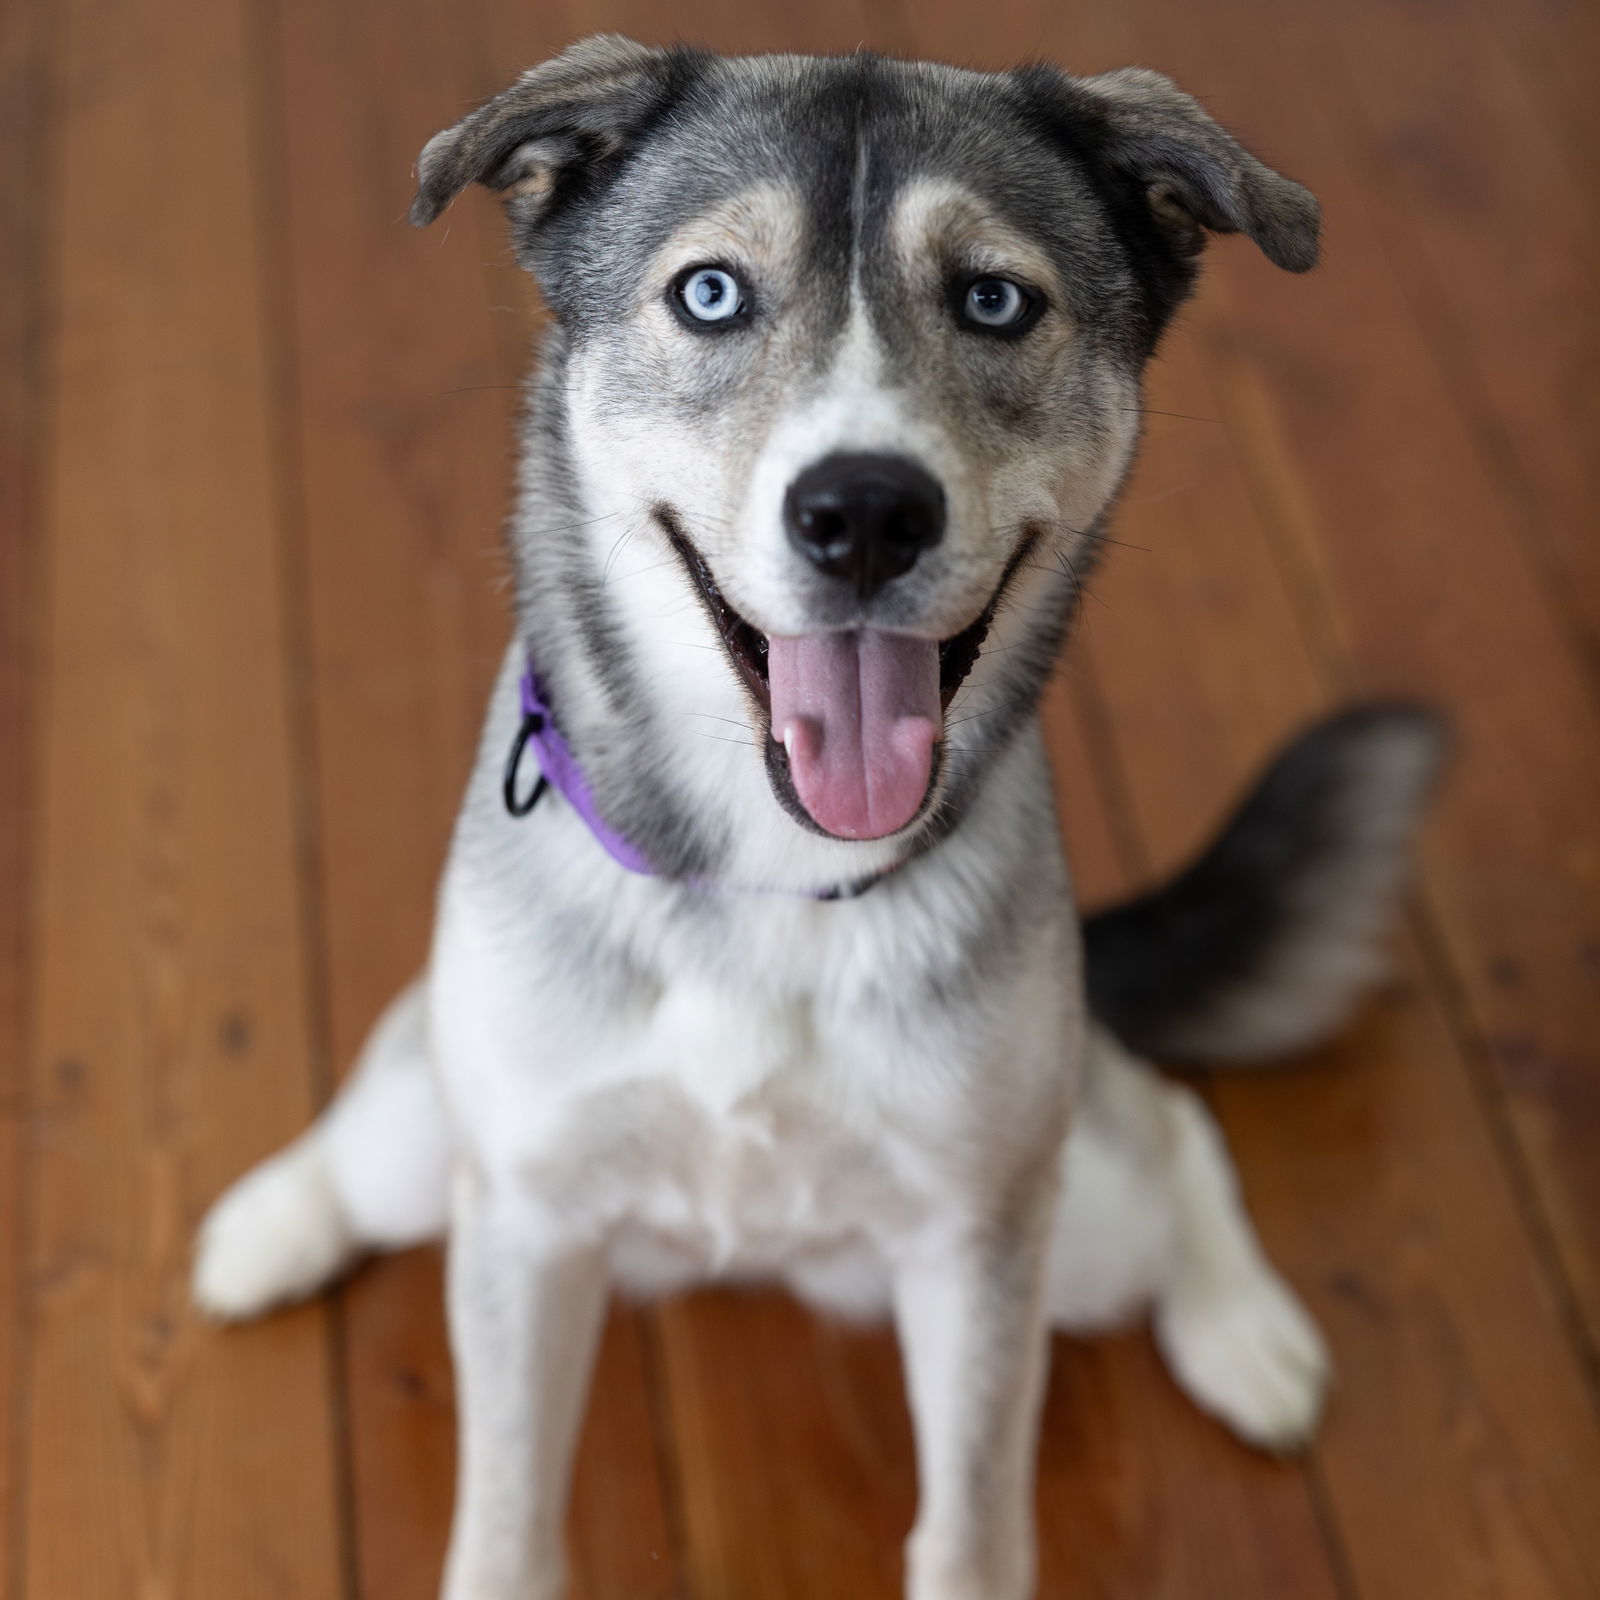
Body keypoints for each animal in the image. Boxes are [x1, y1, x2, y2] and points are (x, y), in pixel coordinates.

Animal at [190, 37, 1452, 1600]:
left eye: (993, 299)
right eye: (709, 293)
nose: (862, 513)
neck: (771, 878)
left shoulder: (975, 1251)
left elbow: (969, 1527)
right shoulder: (529, 1226)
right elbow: (506, 1525)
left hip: (1072, 1223)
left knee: (1161, 1121)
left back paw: (1242, 1332)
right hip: (437, 1141)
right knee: (370, 1126)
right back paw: (271, 1225)